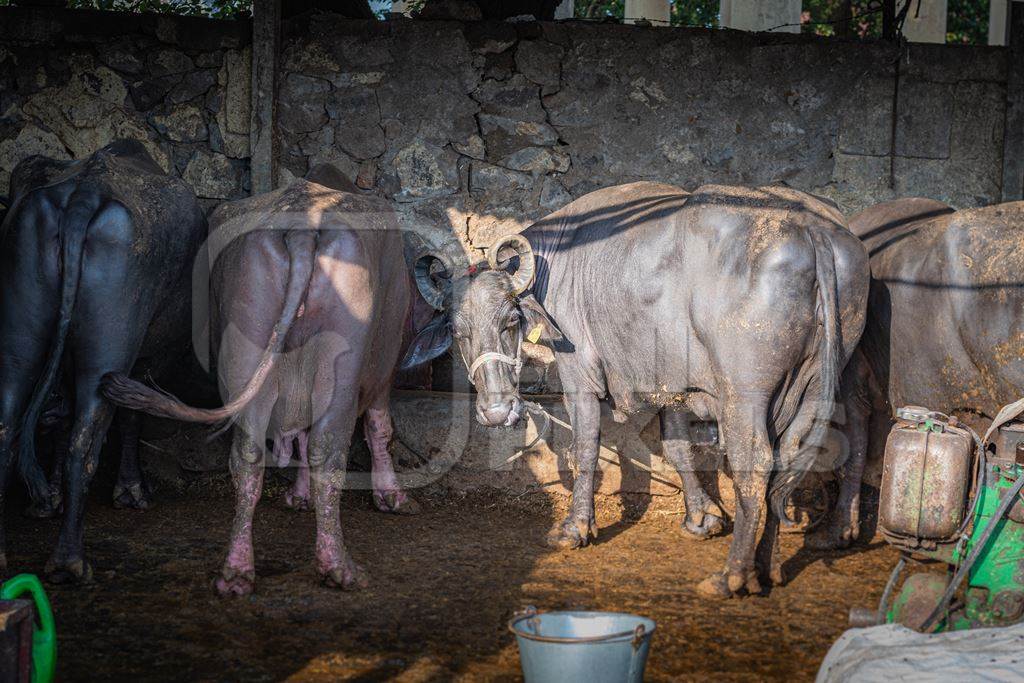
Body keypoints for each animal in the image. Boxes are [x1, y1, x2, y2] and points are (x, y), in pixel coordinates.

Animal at [403, 181, 868, 598]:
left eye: (511, 321)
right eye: (458, 331)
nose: (497, 412)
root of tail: (812, 231)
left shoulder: (580, 376)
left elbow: (585, 449)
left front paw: (575, 527)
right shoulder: (674, 385)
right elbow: (678, 447)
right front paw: (701, 517)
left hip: (745, 396)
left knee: (755, 466)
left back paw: (732, 575)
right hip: (814, 386)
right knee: (785, 463)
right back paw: (765, 568)